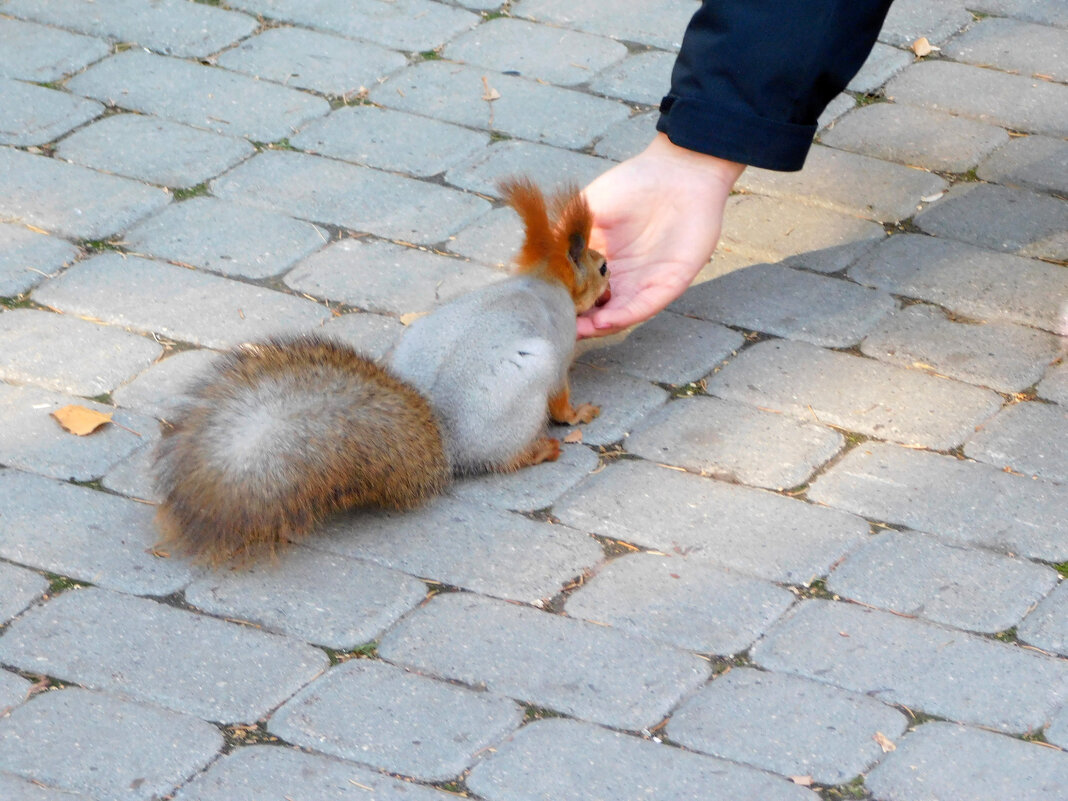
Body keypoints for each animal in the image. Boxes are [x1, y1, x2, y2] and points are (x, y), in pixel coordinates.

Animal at [154, 177, 615, 563]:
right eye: (602, 267)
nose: (610, 285)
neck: (540, 283)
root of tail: (445, 443)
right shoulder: (559, 349)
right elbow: (561, 401)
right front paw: (580, 414)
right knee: (508, 458)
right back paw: (542, 449)